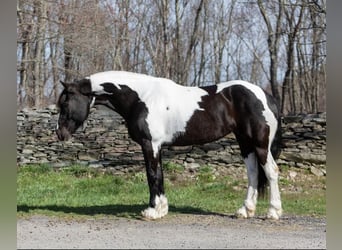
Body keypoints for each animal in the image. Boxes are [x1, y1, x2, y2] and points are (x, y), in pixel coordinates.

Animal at [56, 71, 282, 220]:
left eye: (65, 103)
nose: (60, 133)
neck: (141, 97)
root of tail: (266, 96)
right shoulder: (157, 146)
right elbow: (160, 175)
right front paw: (161, 209)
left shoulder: (150, 144)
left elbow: (152, 175)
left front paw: (152, 211)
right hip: (245, 143)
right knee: (253, 173)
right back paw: (245, 211)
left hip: (260, 144)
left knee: (271, 171)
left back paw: (273, 212)